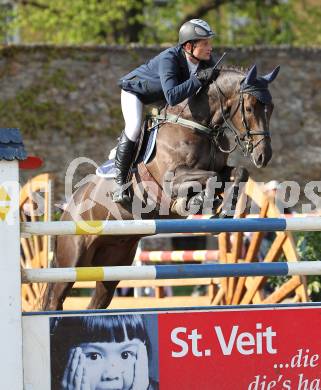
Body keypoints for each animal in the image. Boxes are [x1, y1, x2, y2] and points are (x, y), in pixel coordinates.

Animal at [42, 64, 278, 310]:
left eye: (270, 108)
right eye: (249, 108)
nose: (263, 156)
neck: (198, 125)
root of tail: (67, 210)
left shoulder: (222, 169)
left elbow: (239, 172)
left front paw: (224, 210)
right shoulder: (172, 178)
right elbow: (209, 178)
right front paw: (197, 201)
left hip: (113, 263)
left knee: (97, 302)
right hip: (71, 260)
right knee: (55, 300)